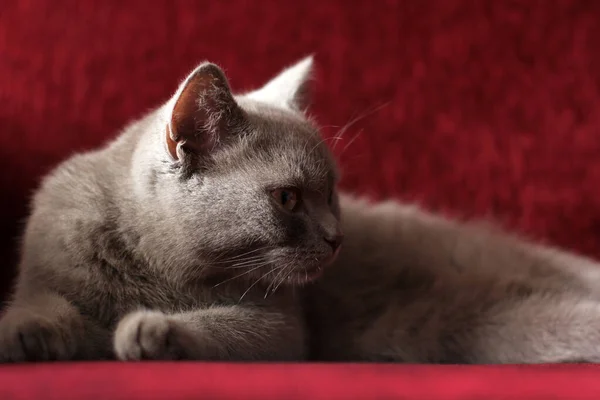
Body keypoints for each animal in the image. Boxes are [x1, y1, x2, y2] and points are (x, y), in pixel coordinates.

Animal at [0, 57, 342, 362]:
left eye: (330, 196)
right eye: (287, 198)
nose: (336, 239)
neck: (156, 266)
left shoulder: (281, 325)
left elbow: (224, 325)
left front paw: (153, 327)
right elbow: (49, 302)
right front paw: (27, 328)